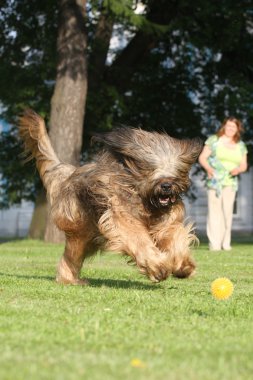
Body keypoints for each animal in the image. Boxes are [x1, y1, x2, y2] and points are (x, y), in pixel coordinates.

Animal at [18, 108, 203, 284]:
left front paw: (183, 266)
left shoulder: (167, 223)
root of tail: (68, 174)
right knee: (73, 252)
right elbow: (138, 239)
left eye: (176, 169)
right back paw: (69, 280)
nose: (166, 186)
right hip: (80, 227)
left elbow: (175, 236)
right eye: (150, 168)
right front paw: (158, 267)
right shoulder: (121, 216)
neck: (147, 202)